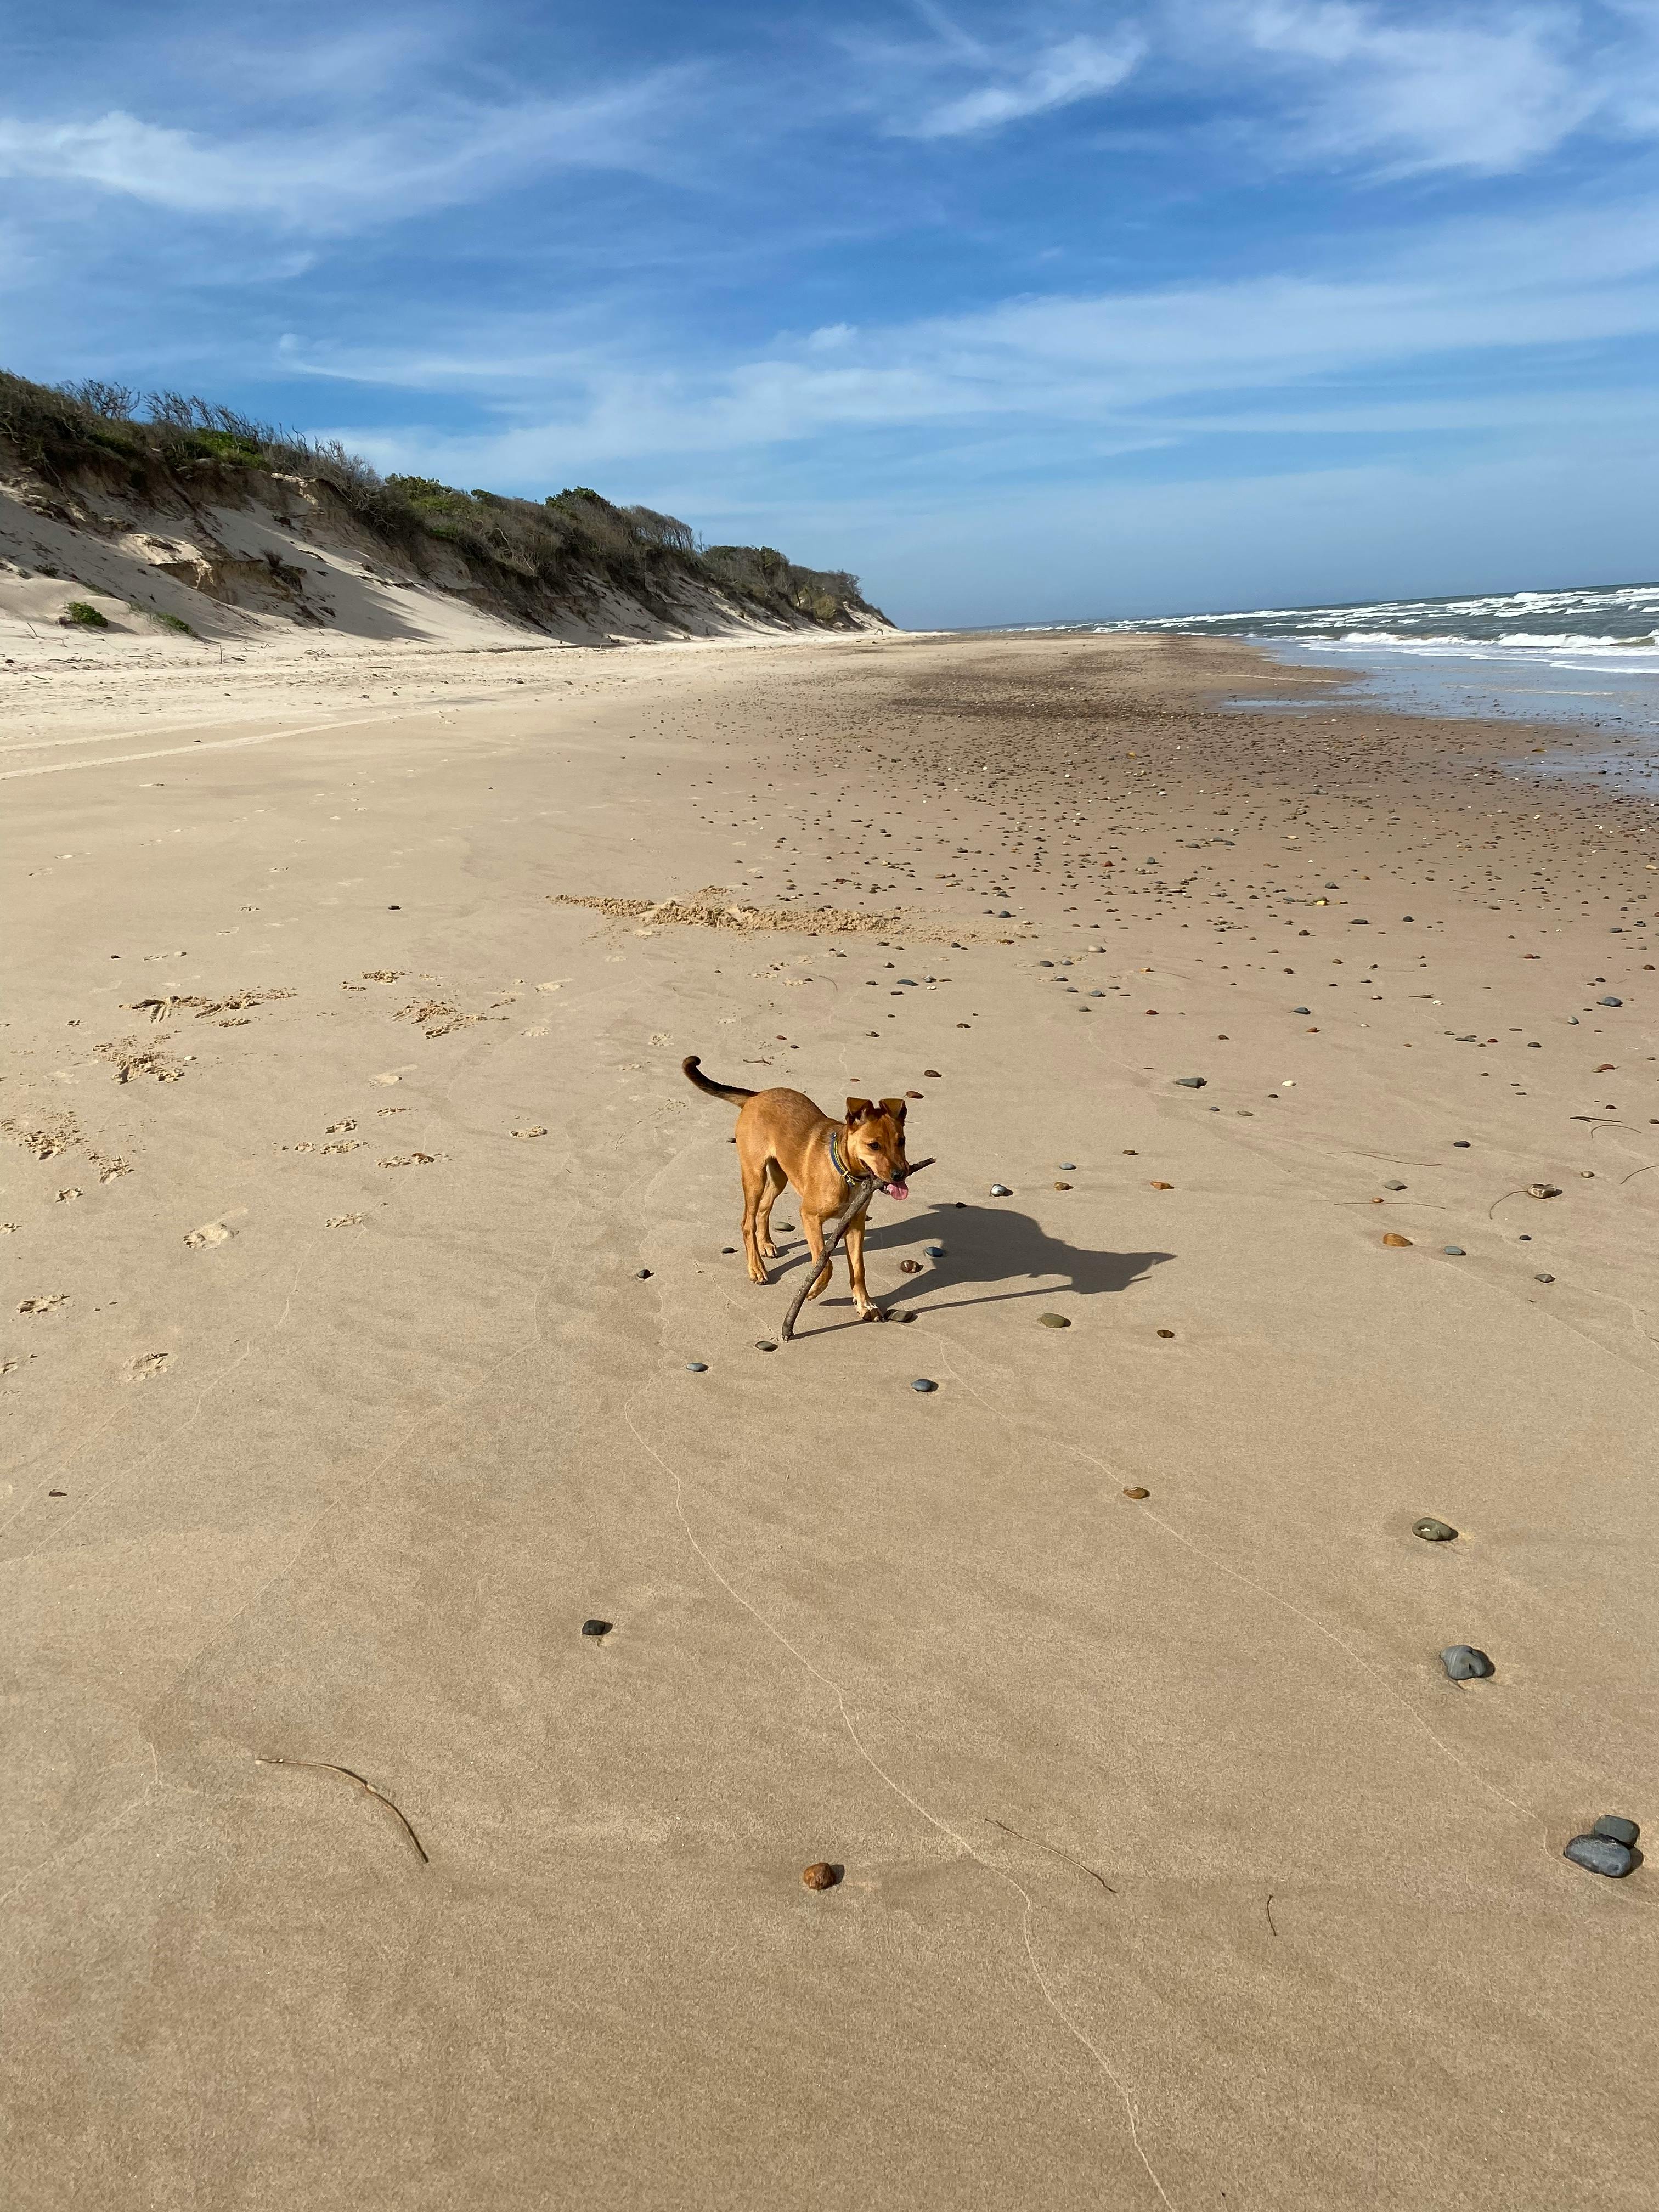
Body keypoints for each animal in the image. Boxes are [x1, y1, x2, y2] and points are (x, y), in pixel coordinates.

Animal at [690, 1062, 924, 1318]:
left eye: (901, 1141)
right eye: (874, 1146)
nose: (901, 1174)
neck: (846, 1173)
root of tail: (756, 1096)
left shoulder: (855, 1225)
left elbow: (858, 1269)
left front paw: (865, 1304)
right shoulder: (810, 1217)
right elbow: (825, 1263)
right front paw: (813, 1290)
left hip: (780, 1177)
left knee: (764, 1209)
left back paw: (766, 1244)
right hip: (755, 1176)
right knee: (747, 1222)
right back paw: (756, 1268)